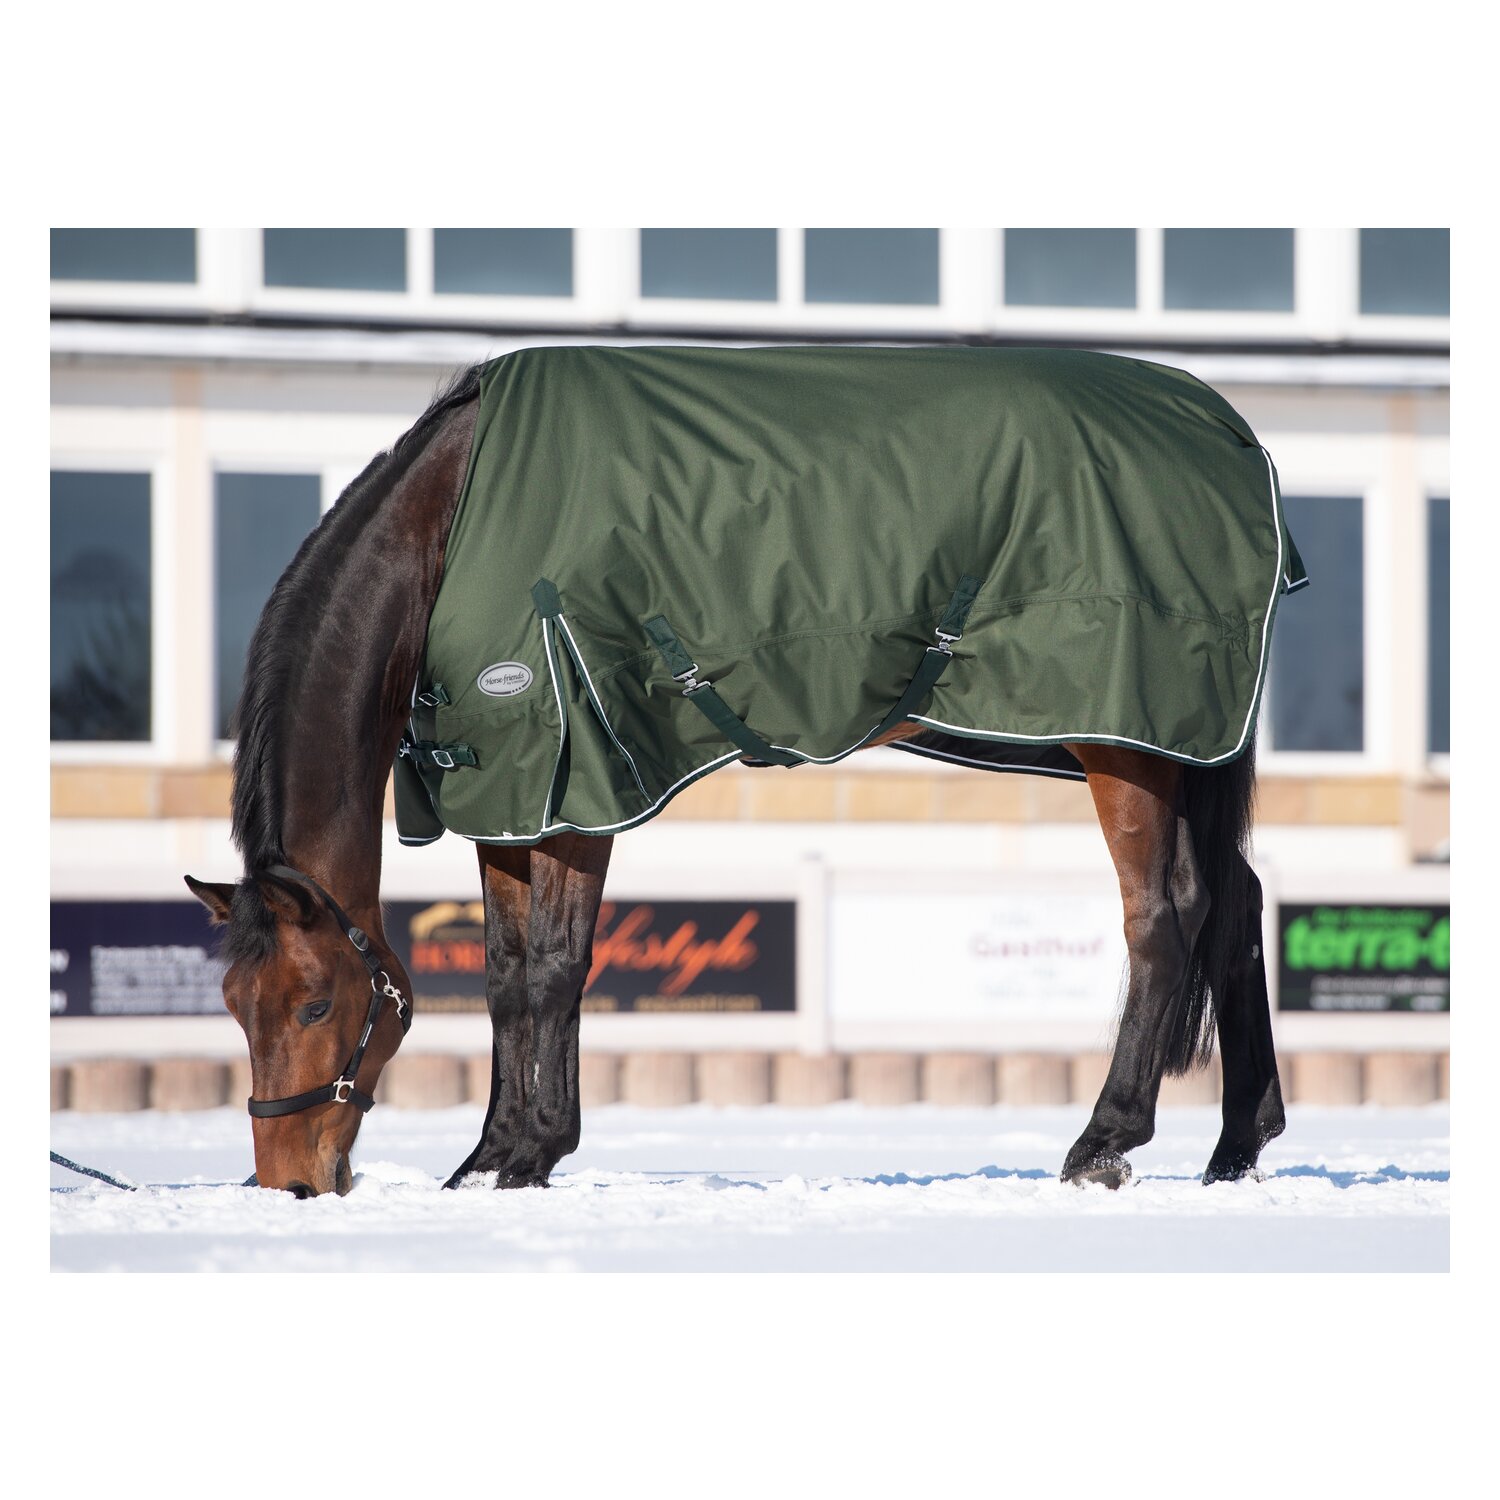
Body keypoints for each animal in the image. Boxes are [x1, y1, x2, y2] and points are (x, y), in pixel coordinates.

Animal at [185, 351, 1288, 1198]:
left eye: (314, 1005)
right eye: (234, 1004)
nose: (289, 1181)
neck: (450, 521)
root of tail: (1229, 433)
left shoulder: (581, 782)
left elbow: (556, 970)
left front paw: (535, 1153)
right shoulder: (507, 791)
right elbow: (502, 976)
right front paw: (488, 1156)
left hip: (1127, 748)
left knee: (1163, 916)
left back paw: (1104, 1143)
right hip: (1164, 747)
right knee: (1235, 902)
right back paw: (1238, 1145)